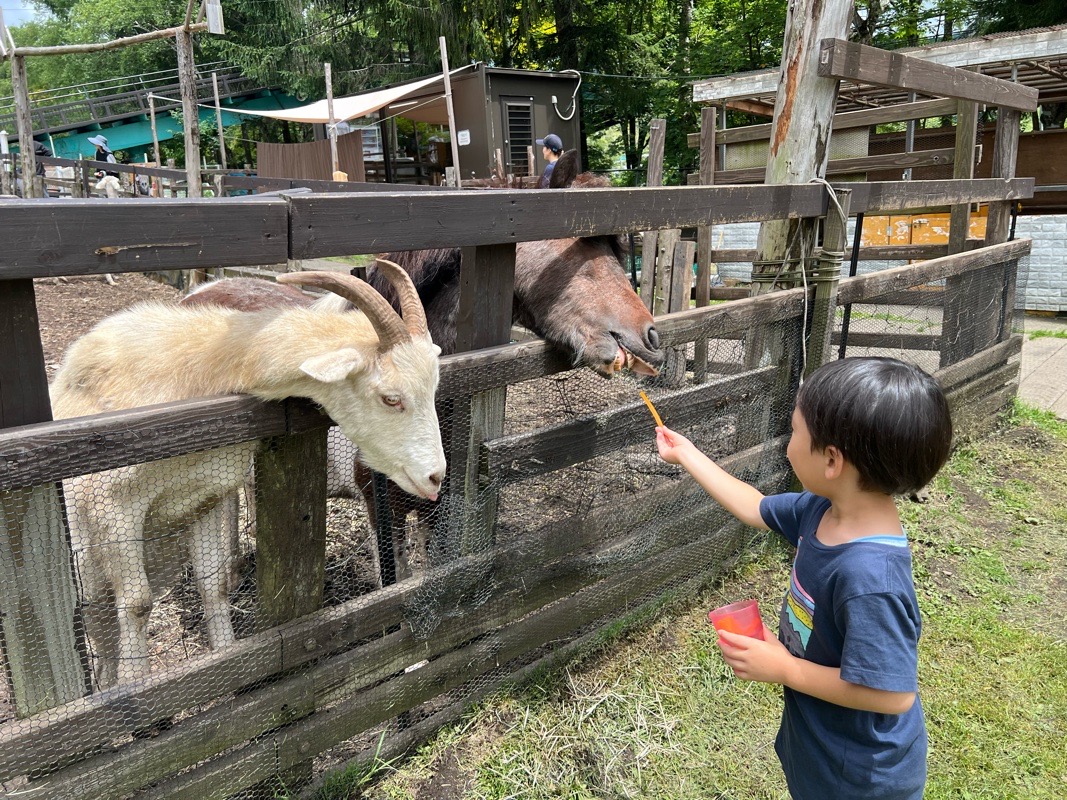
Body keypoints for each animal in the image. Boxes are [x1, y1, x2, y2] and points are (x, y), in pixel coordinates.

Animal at [52, 264, 443, 691]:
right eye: (391, 398)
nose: (436, 476)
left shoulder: (202, 496)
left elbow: (213, 584)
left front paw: (227, 670)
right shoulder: (112, 507)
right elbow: (138, 604)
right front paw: (137, 690)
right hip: (87, 562)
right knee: (99, 619)